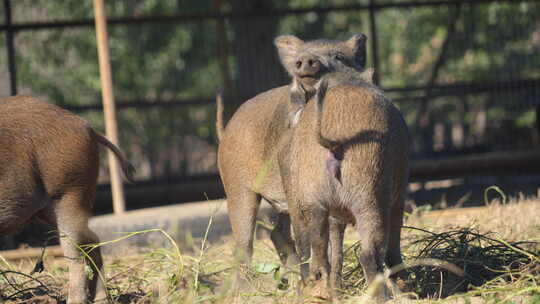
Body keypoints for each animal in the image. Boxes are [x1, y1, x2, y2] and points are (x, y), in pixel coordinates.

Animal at [0, 95, 135, 304]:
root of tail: (87, 127)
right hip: (53, 207)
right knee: (92, 241)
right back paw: (100, 299)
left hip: (70, 193)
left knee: (76, 255)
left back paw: (76, 300)